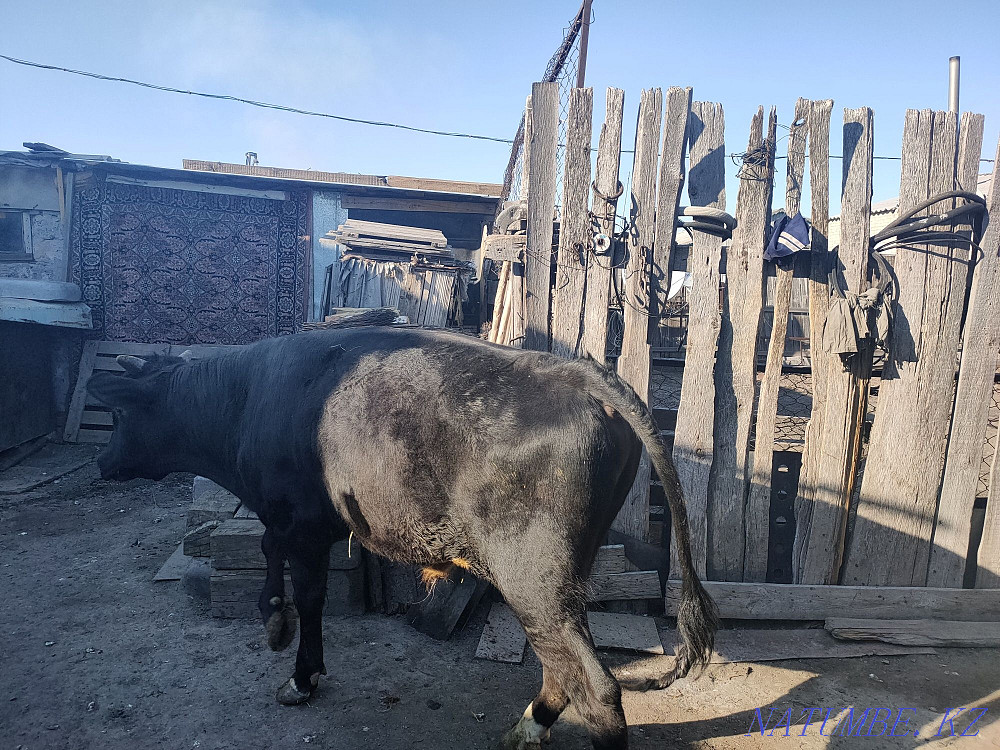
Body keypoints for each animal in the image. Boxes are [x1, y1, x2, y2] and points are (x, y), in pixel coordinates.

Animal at [87, 326, 717, 750]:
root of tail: (579, 373)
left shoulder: (300, 521)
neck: (245, 396)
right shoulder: (307, 522)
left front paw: (296, 664)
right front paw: (277, 623)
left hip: (533, 574)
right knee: (561, 664)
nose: (100, 461)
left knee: (597, 686)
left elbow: (307, 594)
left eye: (119, 417)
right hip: (564, 573)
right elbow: (279, 561)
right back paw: (529, 725)